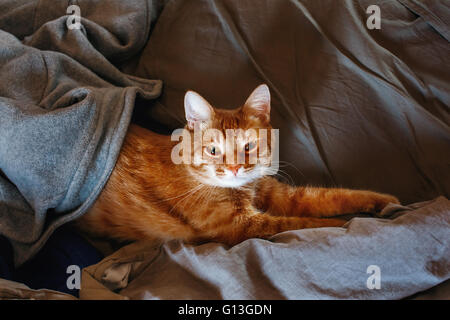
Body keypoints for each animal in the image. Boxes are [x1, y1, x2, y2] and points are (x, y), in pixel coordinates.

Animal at [75, 84, 400, 245]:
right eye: (214, 150)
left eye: (248, 146)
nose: (233, 169)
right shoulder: (243, 226)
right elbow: (304, 223)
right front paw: (345, 224)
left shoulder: (280, 195)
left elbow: (331, 197)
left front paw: (381, 201)